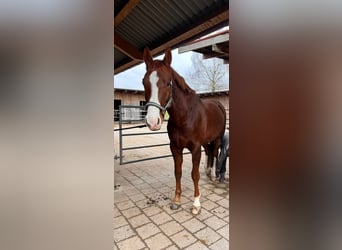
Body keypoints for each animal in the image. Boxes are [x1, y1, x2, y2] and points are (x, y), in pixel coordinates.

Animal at [142, 47, 227, 215]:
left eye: (168, 83)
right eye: (144, 82)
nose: (153, 122)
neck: (185, 116)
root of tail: (218, 104)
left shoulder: (195, 148)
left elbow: (195, 175)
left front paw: (196, 204)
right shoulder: (175, 147)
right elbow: (178, 172)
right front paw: (176, 201)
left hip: (218, 137)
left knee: (215, 152)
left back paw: (214, 174)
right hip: (206, 141)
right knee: (209, 151)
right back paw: (208, 170)